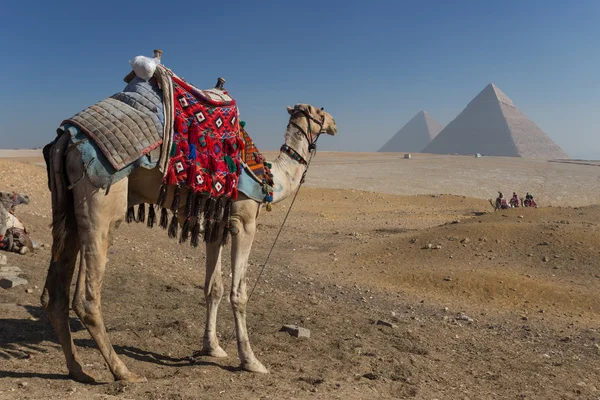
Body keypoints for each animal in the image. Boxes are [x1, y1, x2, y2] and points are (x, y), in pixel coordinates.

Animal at [41, 104, 338, 384]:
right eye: (320, 112)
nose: (335, 124)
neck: (273, 177)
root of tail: (66, 138)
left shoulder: (216, 226)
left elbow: (213, 288)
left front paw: (212, 348)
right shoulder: (243, 221)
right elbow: (238, 293)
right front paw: (251, 361)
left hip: (67, 207)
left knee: (55, 291)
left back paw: (78, 370)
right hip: (100, 203)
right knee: (86, 297)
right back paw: (124, 373)